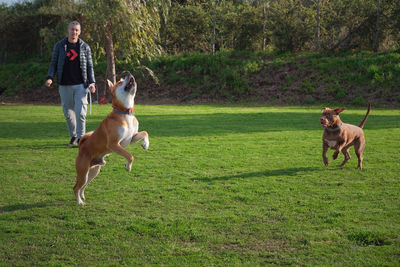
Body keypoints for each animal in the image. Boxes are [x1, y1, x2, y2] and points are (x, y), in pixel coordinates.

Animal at [73, 74, 148, 206]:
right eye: (120, 82)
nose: (129, 74)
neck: (125, 113)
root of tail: (81, 147)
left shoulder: (130, 138)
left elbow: (144, 133)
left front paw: (145, 144)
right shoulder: (114, 144)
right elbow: (129, 155)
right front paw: (128, 166)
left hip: (93, 172)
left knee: (83, 186)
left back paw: (82, 197)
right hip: (83, 172)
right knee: (76, 187)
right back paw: (79, 202)